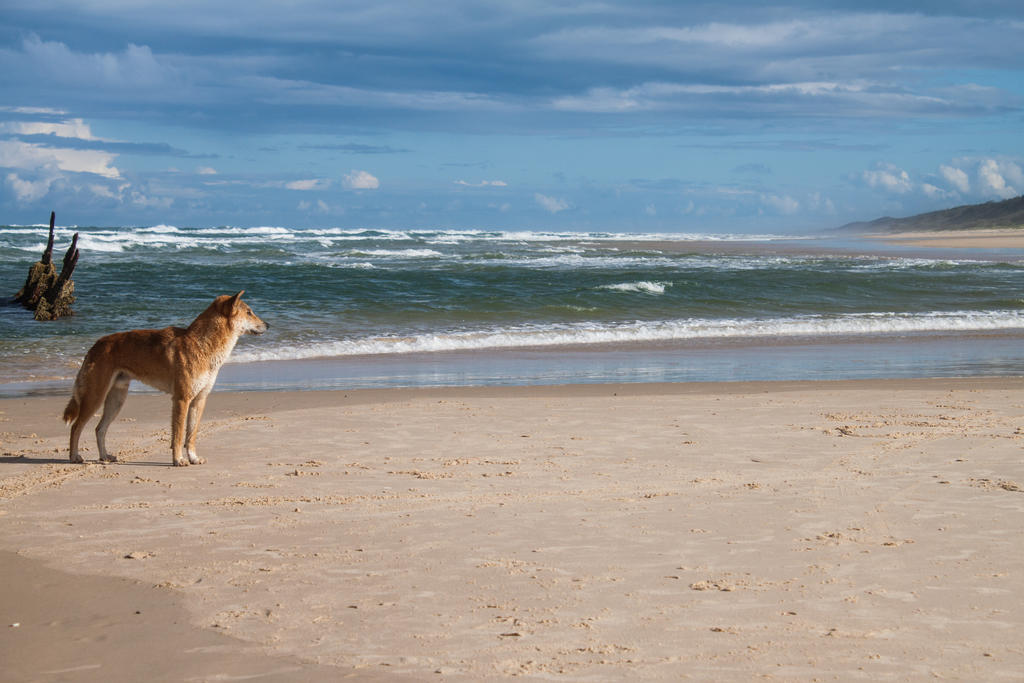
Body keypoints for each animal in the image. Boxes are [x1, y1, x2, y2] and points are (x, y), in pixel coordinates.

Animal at [61, 290, 266, 466]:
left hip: (116, 400)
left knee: (99, 429)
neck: (202, 344)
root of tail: (95, 345)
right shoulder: (182, 399)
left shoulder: (199, 399)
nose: (268, 325)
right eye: (249, 312)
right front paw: (178, 460)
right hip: (95, 398)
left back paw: (104, 456)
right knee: (76, 427)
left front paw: (193, 458)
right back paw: (74, 457)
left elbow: (191, 435)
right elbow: (179, 435)